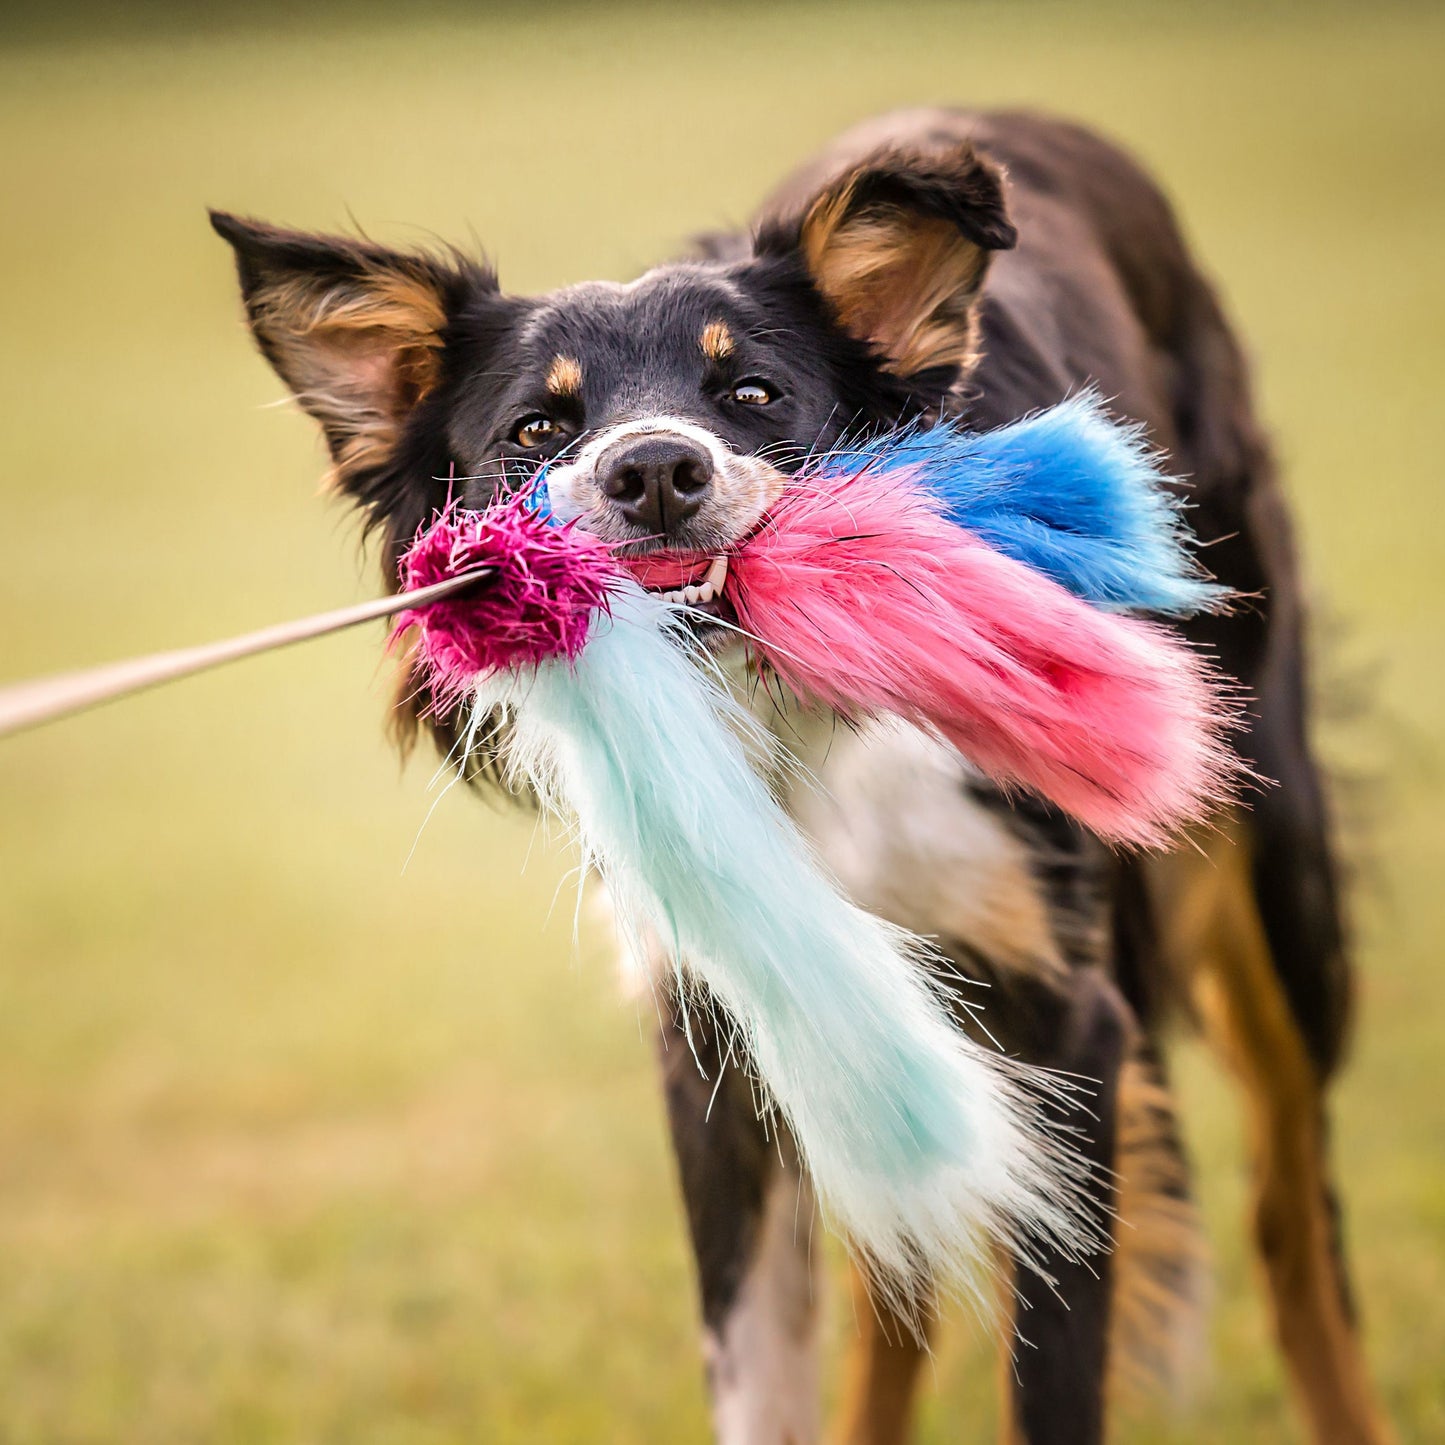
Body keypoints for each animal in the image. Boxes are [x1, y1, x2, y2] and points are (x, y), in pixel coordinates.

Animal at [210, 109, 1387, 1445]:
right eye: (536, 429)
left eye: (752, 393)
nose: (652, 470)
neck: (781, 712)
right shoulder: (718, 1026)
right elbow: (762, 1362)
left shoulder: (1064, 1014)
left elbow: (1047, 1374)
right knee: (899, 1284)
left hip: (1270, 858)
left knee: (1292, 1205)